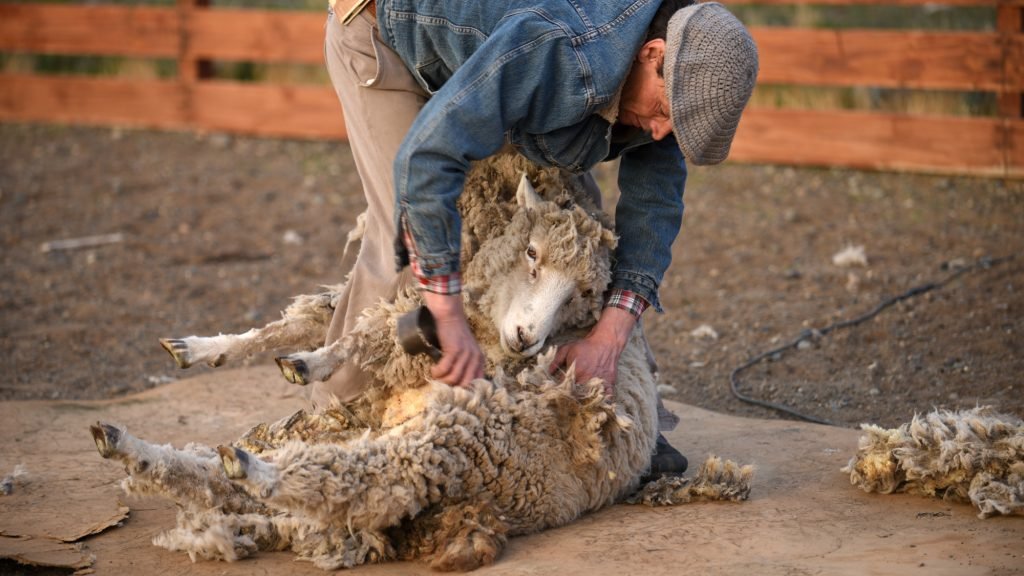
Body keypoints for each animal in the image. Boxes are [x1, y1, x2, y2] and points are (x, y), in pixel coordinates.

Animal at [92, 152, 753, 569]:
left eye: (586, 292)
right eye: (532, 253)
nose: (526, 340)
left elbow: (361, 334)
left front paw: (308, 362)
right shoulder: (421, 315)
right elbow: (307, 323)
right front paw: (211, 349)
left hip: (464, 436)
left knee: (360, 475)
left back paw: (247, 467)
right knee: (229, 480)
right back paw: (133, 446)